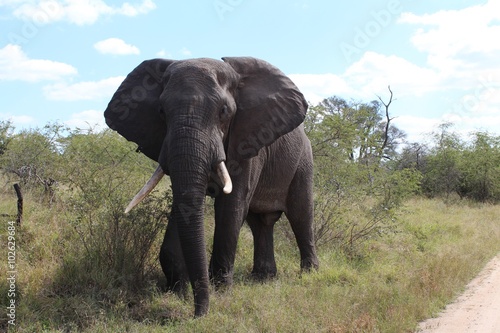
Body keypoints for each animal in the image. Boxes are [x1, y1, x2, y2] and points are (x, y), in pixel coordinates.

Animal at [103, 57, 318, 316]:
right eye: (161, 111)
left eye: (224, 111)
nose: (197, 314)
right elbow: (183, 205)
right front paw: (177, 291)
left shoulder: (247, 139)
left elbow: (231, 207)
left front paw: (220, 292)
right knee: (260, 222)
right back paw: (263, 278)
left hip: (303, 160)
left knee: (300, 214)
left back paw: (309, 274)